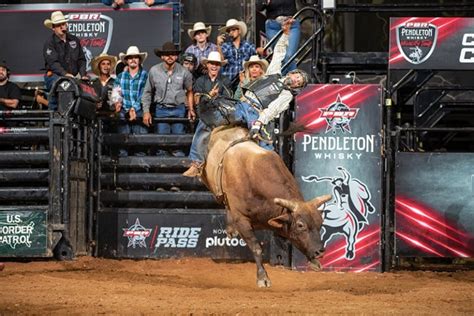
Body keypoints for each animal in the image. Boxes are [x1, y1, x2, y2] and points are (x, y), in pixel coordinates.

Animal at [200, 125, 330, 286]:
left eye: (320, 222)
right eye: (300, 225)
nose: (320, 252)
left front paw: (313, 261)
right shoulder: (242, 220)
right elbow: (256, 248)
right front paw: (263, 278)